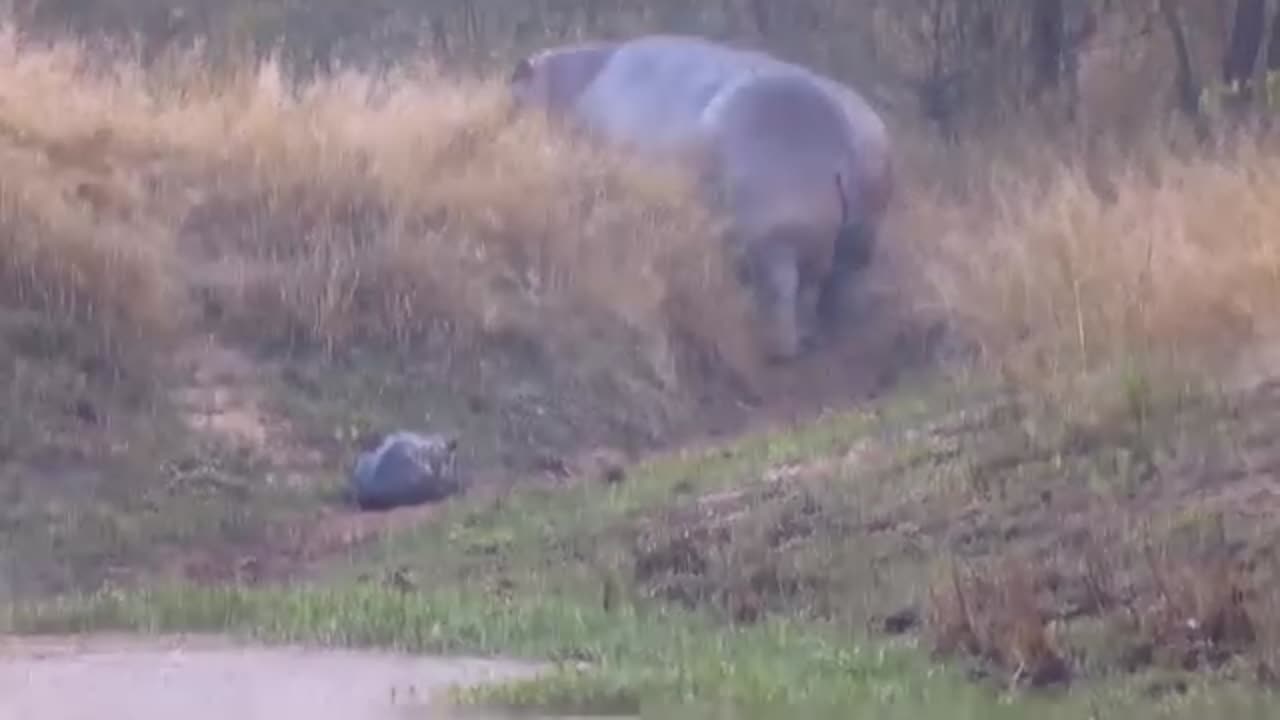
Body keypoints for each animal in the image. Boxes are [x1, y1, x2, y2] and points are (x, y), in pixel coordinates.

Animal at [506, 33, 890, 358]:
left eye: (514, 96)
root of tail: (840, 145)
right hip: (845, 241)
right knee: (826, 285)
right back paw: (823, 338)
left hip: (775, 237)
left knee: (783, 291)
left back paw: (777, 348)